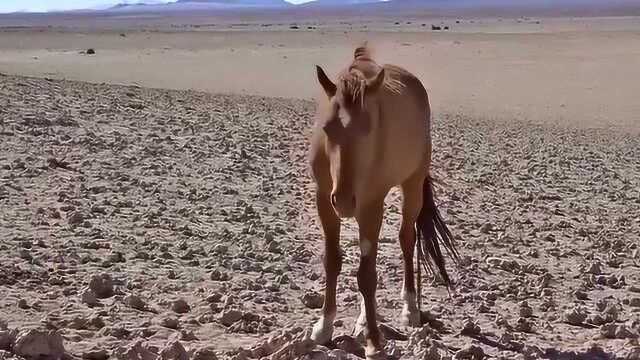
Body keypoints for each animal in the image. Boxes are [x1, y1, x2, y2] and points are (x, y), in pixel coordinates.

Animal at [308, 45, 458, 358]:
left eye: (369, 129)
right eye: (327, 128)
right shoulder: (324, 201)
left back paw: (410, 308)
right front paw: (324, 326)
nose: (344, 200)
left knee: (406, 239)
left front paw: (374, 342)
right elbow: (332, 261)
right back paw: (364, 319)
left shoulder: (370, 206)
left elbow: (367, 276)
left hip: (412, 186)